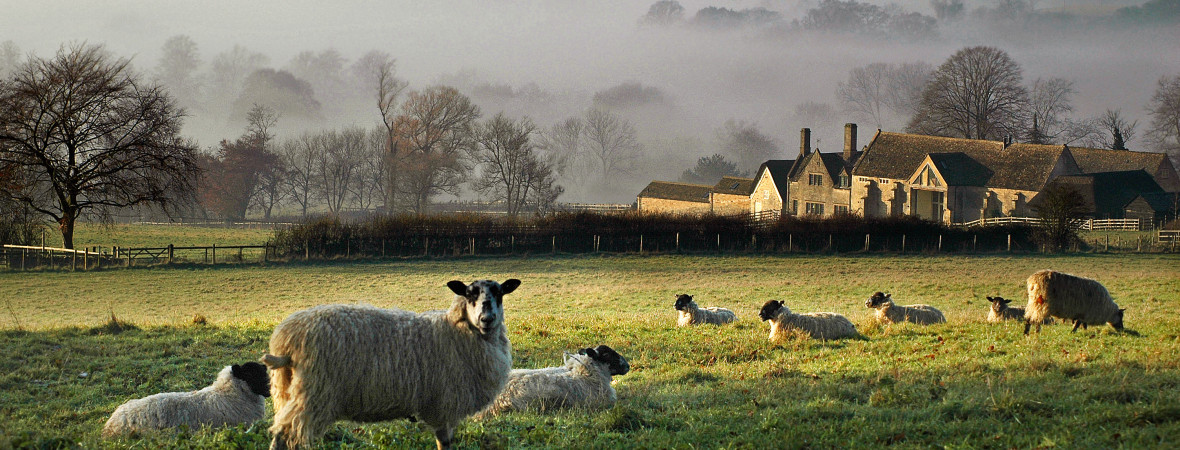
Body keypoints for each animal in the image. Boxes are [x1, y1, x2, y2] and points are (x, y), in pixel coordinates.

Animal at [265, 277, 523, 448]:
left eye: (499, 293)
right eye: (469, 294)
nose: (487, 319)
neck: (455, 331)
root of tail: (285, 342)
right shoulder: (443, 402)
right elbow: (444, 442)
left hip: (286, 391)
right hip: (314, 393)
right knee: (284, 436)